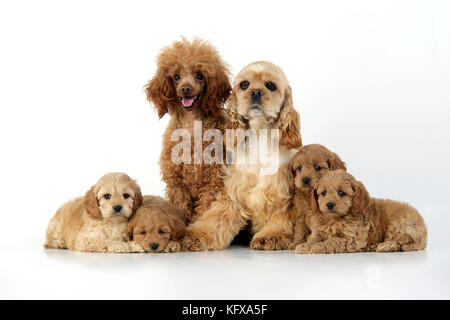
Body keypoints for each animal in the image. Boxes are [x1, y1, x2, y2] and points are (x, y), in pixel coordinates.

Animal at [180, 61, 302, 251]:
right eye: (244, 84)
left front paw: (271, 236)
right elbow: (217, 218)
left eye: (270, 85)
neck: (259, 136)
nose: (256, 92)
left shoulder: (282, 193)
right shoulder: (232, 193)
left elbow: (280, 219)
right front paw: (196, 235)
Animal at [294, 170, 428, 255]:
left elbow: (333, 240)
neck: (334, 219)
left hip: (398, 224)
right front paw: (305, 245)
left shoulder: (351, 238)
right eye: (323, 193)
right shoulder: (319, 232)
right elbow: (313, 238)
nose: (330, 204)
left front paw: (319, 246)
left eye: (341, 193)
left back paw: (385, 246)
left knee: (402, 241)